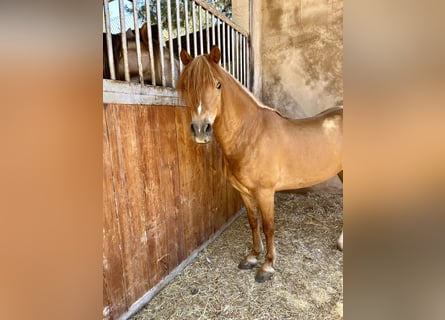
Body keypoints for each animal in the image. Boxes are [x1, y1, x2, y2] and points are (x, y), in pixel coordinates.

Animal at [178, 45, 344, 282]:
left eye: (218, 84)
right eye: (186, 86)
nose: (201, 129)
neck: (251, 134)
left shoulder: (265, 192)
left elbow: (268, 226)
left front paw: (267, 266)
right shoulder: (244, 192)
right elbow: (253, 222)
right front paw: (252, 257)